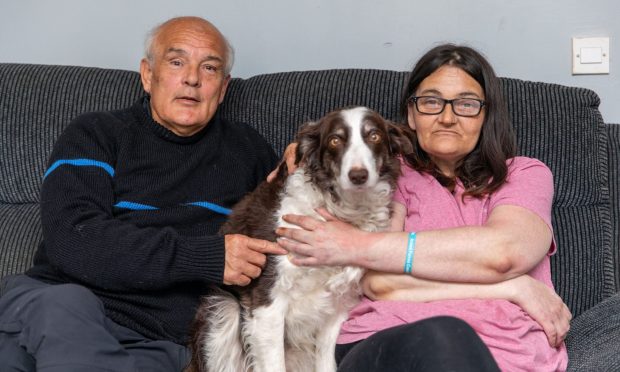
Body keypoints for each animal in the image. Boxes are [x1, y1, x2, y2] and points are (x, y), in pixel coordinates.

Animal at [188, 106, 412, 370]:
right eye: (335, 140)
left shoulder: (337, 308)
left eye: (374, 136)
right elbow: (274, 363)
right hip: (222, 311)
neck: (341, 211)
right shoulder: (267, 302)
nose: (358, 176)